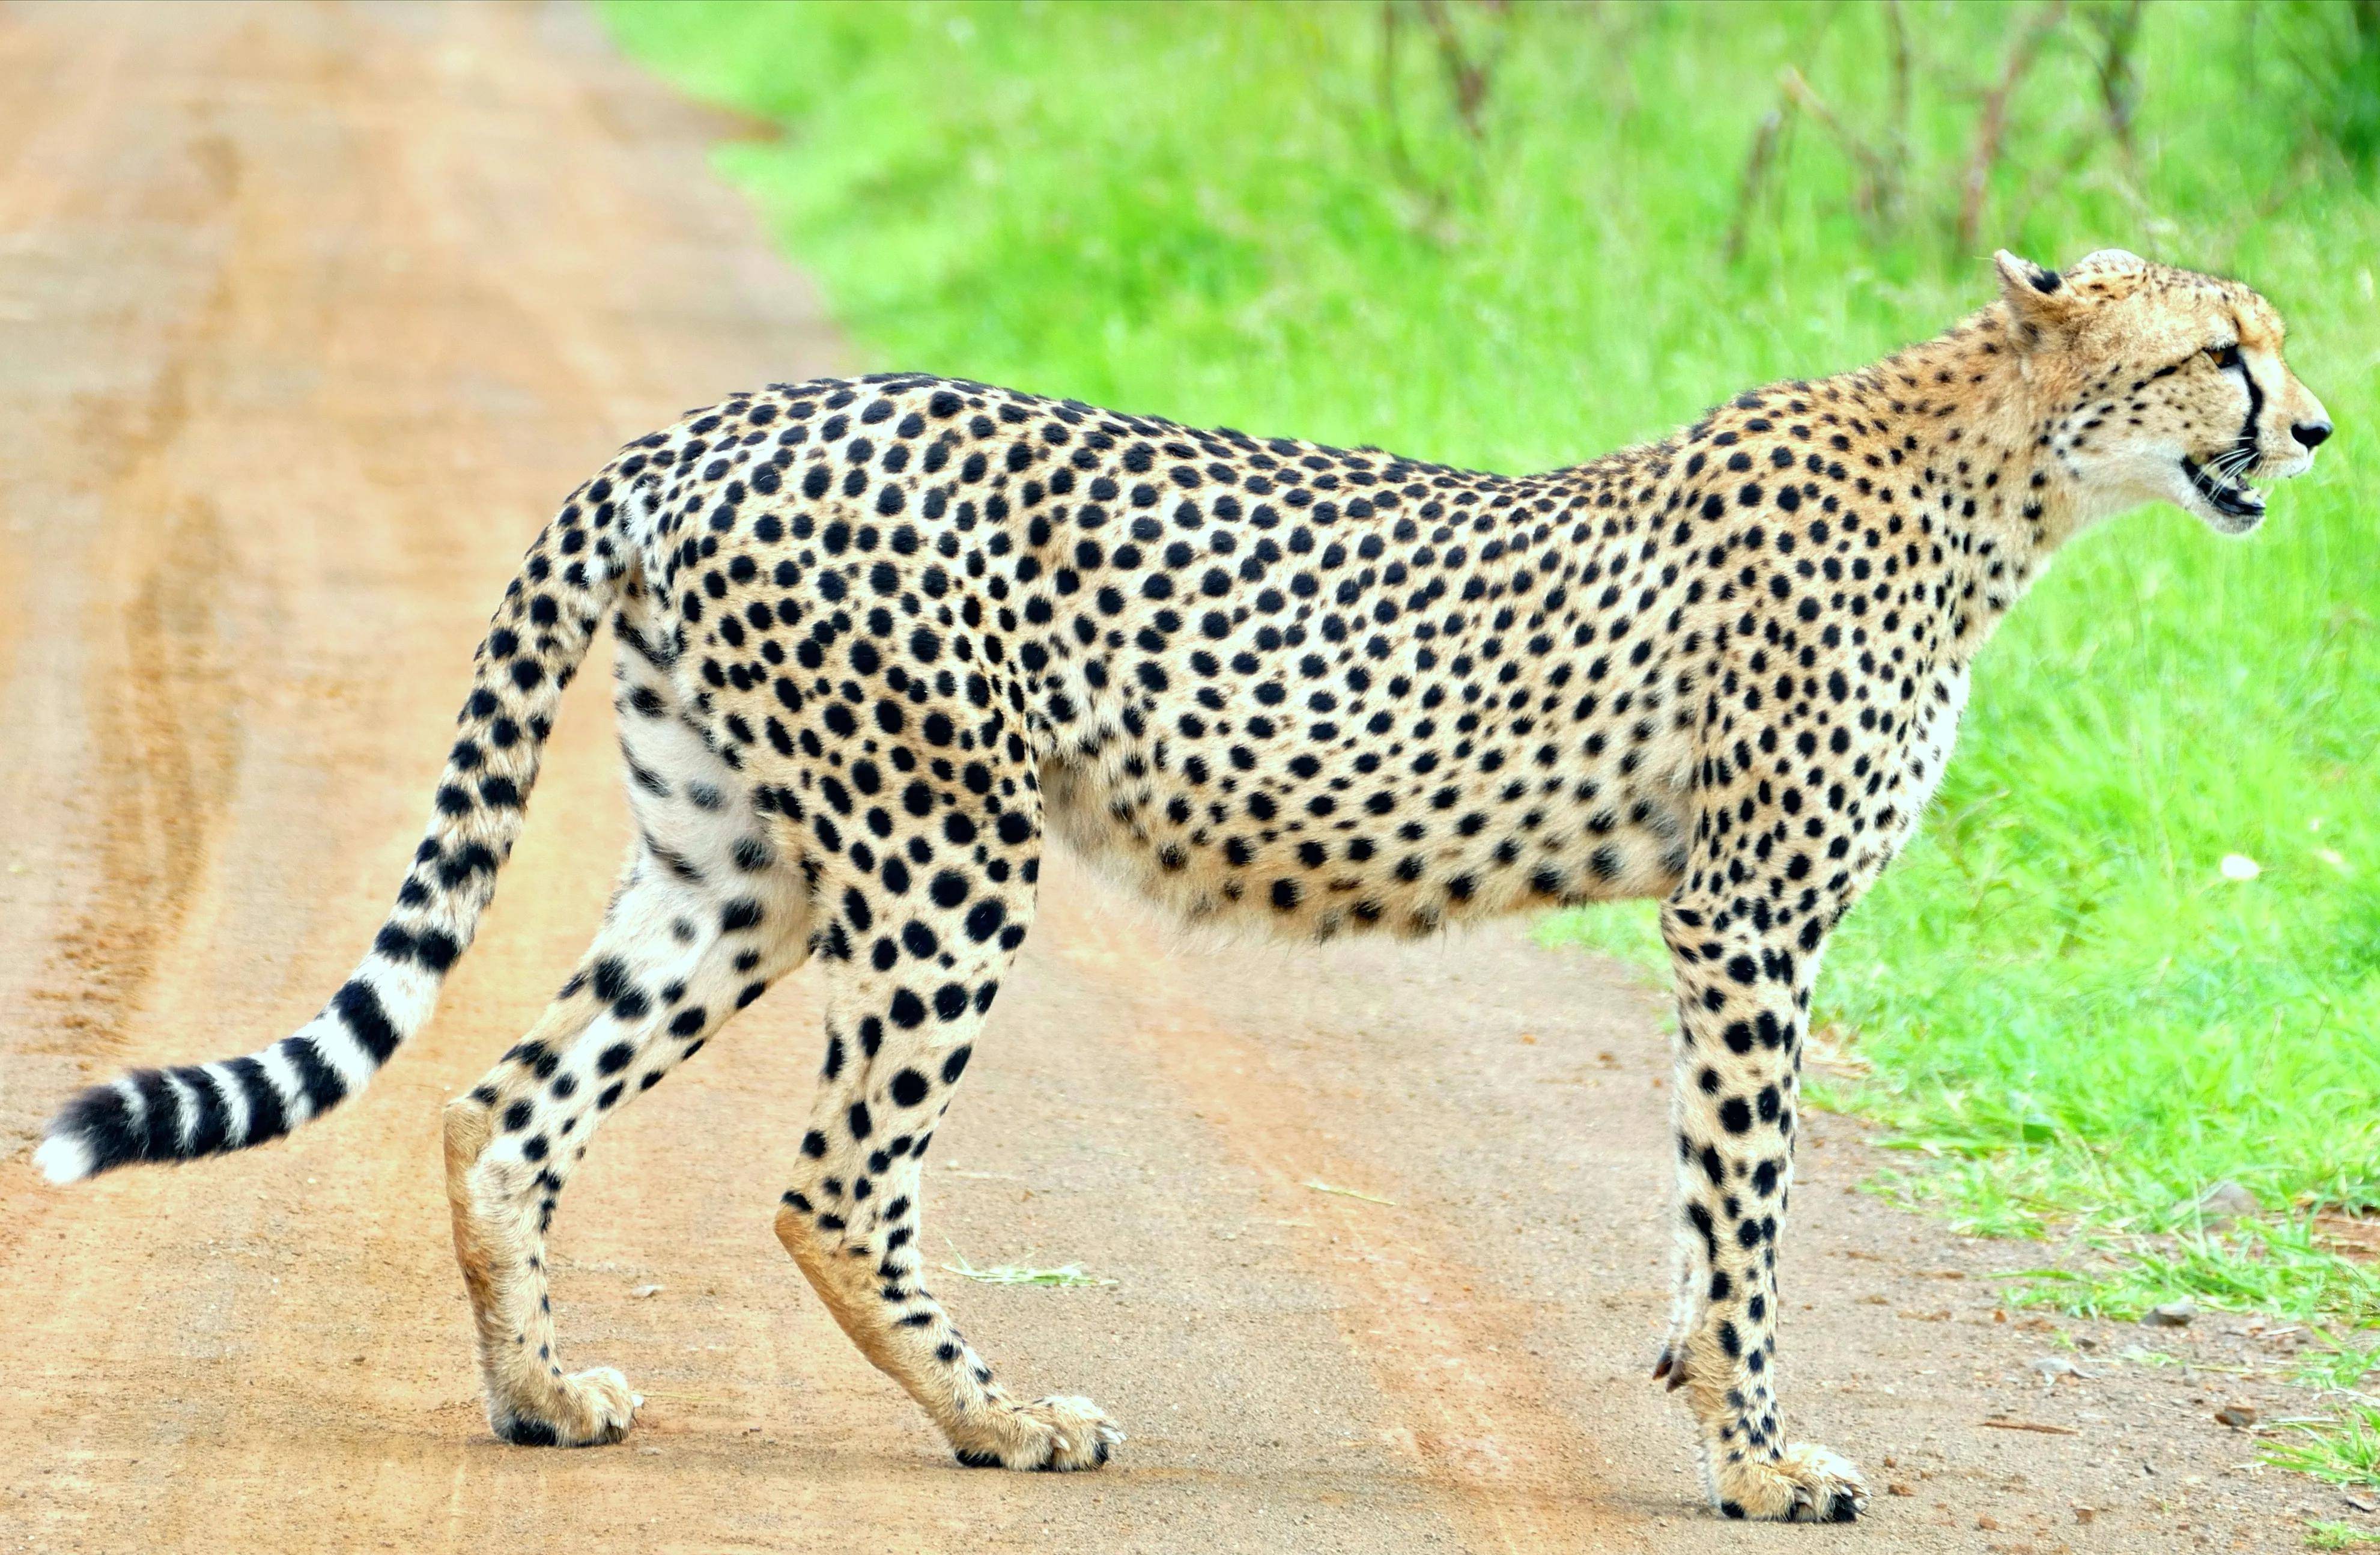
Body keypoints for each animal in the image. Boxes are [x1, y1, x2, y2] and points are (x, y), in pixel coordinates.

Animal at [37, 251, 2332, 1514]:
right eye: (2223, 349)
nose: (2313, 429)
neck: (2001, 476)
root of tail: (725, 415)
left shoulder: (1721, 928)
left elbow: (1706, 1200)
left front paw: (1706, 1405)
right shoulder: (1750, 915)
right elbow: (1748, 1212)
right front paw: (1763, 1453)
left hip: (741, 858)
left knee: (505, 1102)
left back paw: (541, 1393)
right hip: (945, 854)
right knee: (832, 1180)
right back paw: (1004, 1419)